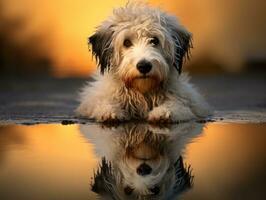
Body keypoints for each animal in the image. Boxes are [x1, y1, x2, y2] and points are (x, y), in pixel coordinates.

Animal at [76, 2, 211, 122]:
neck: (142, 93)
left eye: (154, 40)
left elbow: (177, 105)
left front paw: (164, 112)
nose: (144, 66)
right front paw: (109, 111)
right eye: (126, 42)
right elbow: (103, 102)